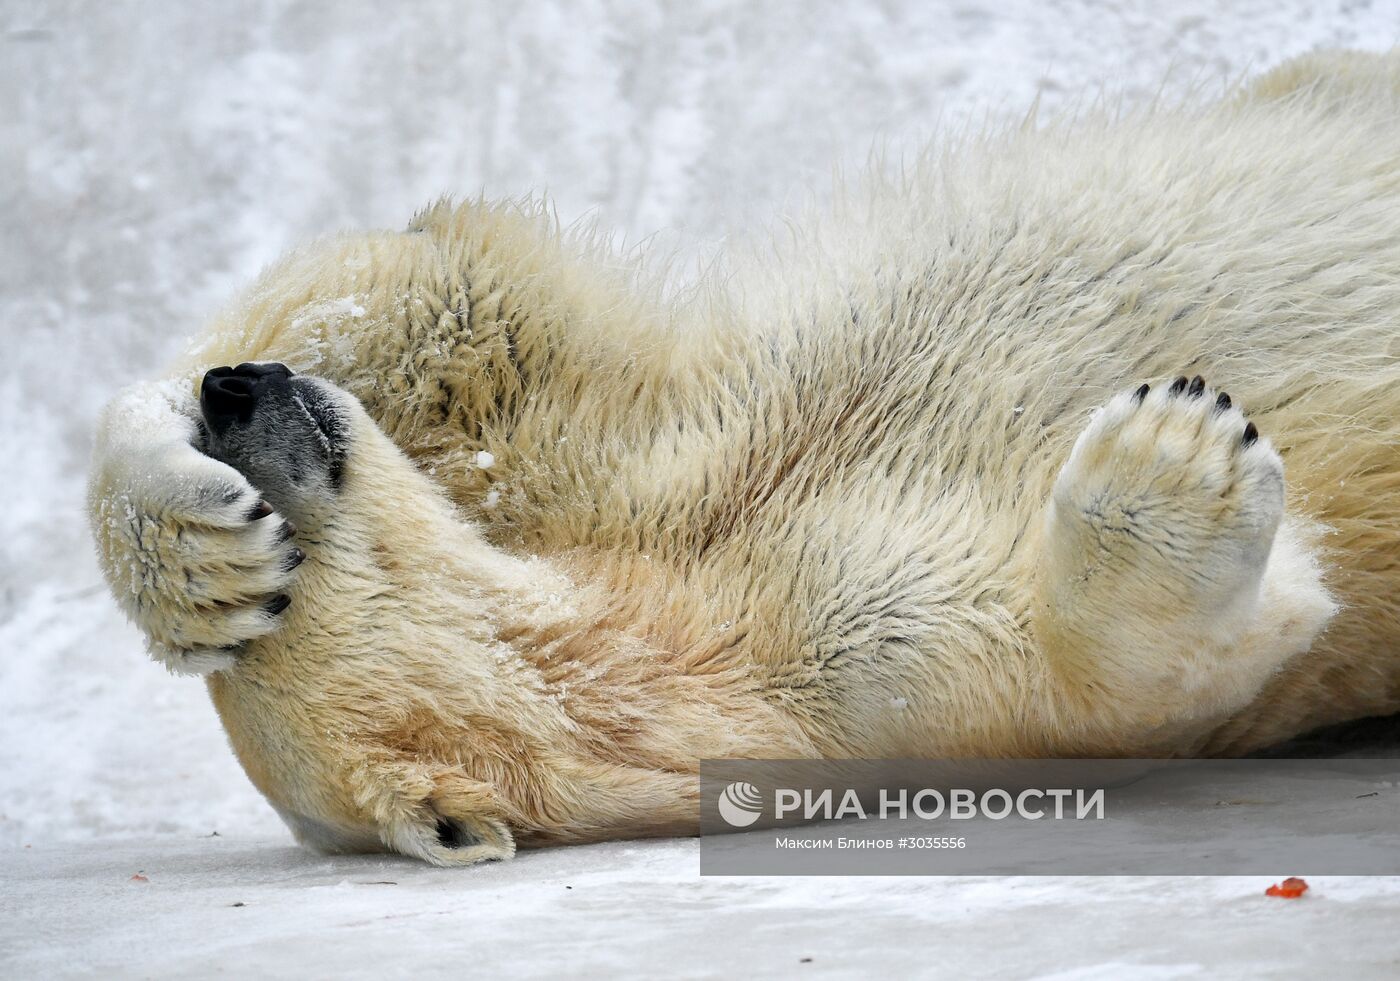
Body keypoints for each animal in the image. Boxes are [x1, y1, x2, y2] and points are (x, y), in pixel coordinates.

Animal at [93, 53, 1400, 862]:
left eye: (269, 504)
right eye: (295, 554)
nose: (237, 398)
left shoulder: (613, 466)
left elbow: (446, 298)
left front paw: (188, 536)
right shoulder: (849, 685)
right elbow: (1161, 666)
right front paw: (1176, 446)